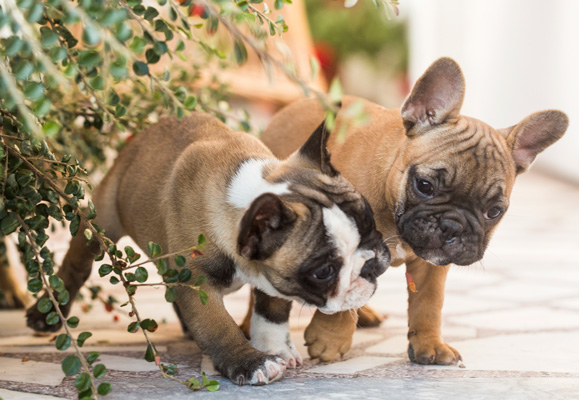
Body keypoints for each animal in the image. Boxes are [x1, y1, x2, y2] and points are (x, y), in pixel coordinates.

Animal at [26, 111, 390, 384]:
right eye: (323, 271)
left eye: (369, 221)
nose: (372, 264)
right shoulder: (197, 283)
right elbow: (217, 326)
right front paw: (251, 362)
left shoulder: (271, 276)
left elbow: (270, 313)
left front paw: (275, 348)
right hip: (101, 222)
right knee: (77, 265)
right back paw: (47, 315)